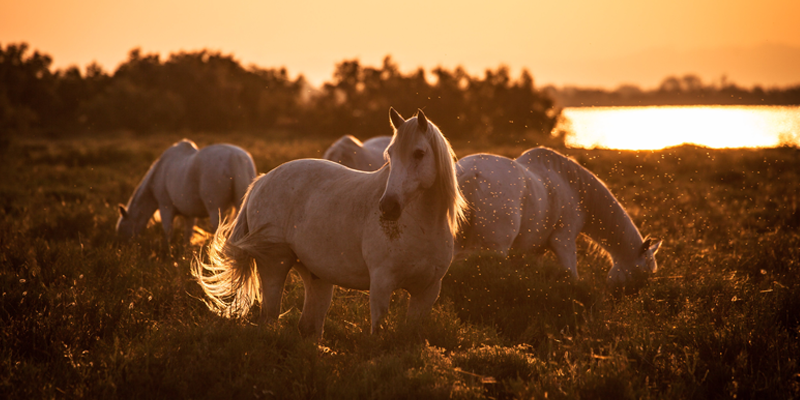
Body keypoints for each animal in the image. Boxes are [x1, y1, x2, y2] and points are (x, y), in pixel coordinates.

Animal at [116, 140, 256, 247]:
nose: (121, 248)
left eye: (121, 228)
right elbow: (188, 234)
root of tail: (236, 157)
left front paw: (167, 251)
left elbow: (168, 231)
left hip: (215, 209)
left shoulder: (165, 207)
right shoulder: (189, 214)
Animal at [195, 108, 468, 340]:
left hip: (316, 276)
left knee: (309, 327)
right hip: (274, 264)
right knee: (269, 318)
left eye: (419, 153)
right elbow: (378, 333)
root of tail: (262, 180)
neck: (421, 225)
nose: (388, 207)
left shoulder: (427, 291)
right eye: (390, 155)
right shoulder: (381, 285)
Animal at [456, 146, 664, 288]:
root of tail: (471, 173)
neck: (572, 186)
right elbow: (571, 274)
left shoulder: (533, 252)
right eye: (641, 274)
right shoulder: (563, 241)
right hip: (495, 248)